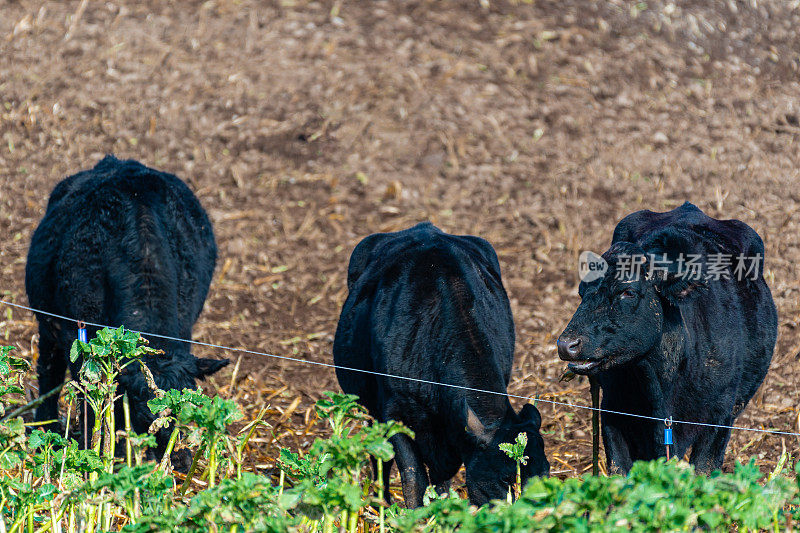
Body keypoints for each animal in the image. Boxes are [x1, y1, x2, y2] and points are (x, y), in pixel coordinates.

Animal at [27, 156, 228, 456]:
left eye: (189, 412)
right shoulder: (81, 345)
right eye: (146, 414)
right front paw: (100, 455)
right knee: (49, 371)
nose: (179, 460)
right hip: (47, 321)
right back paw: (44, 429)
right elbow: (98, 410)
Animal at [332, 221, 552, 508]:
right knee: (378, 455)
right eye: (506, 479)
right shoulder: (394, 414)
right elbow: (413, 477)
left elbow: (442, 481)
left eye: (546, 474)